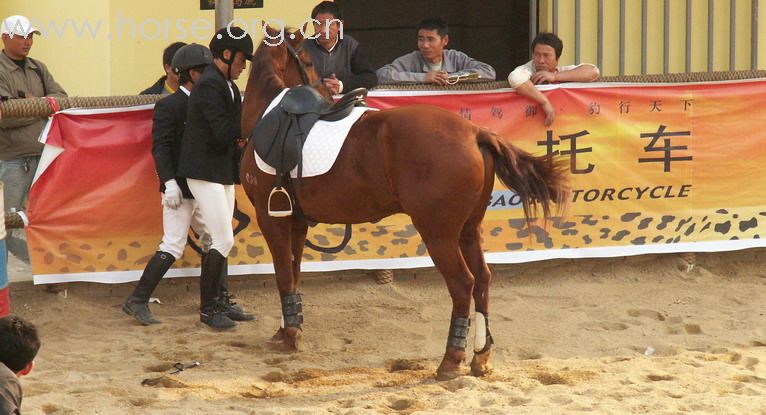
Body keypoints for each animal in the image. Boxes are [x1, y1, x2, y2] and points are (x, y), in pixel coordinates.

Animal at [240, 28, 568, 380]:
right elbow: (294, 271)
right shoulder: (297, 221)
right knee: (482, 279)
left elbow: (283, 274)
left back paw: (451, 359)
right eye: (310, 60)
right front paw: (288, 328)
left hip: (438, 235)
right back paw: (480, 356)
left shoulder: (271, 218)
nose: (326, 89)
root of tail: (474, 132)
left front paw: (289, 335)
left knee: (462, 284)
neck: (273, 117)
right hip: (467, 230)